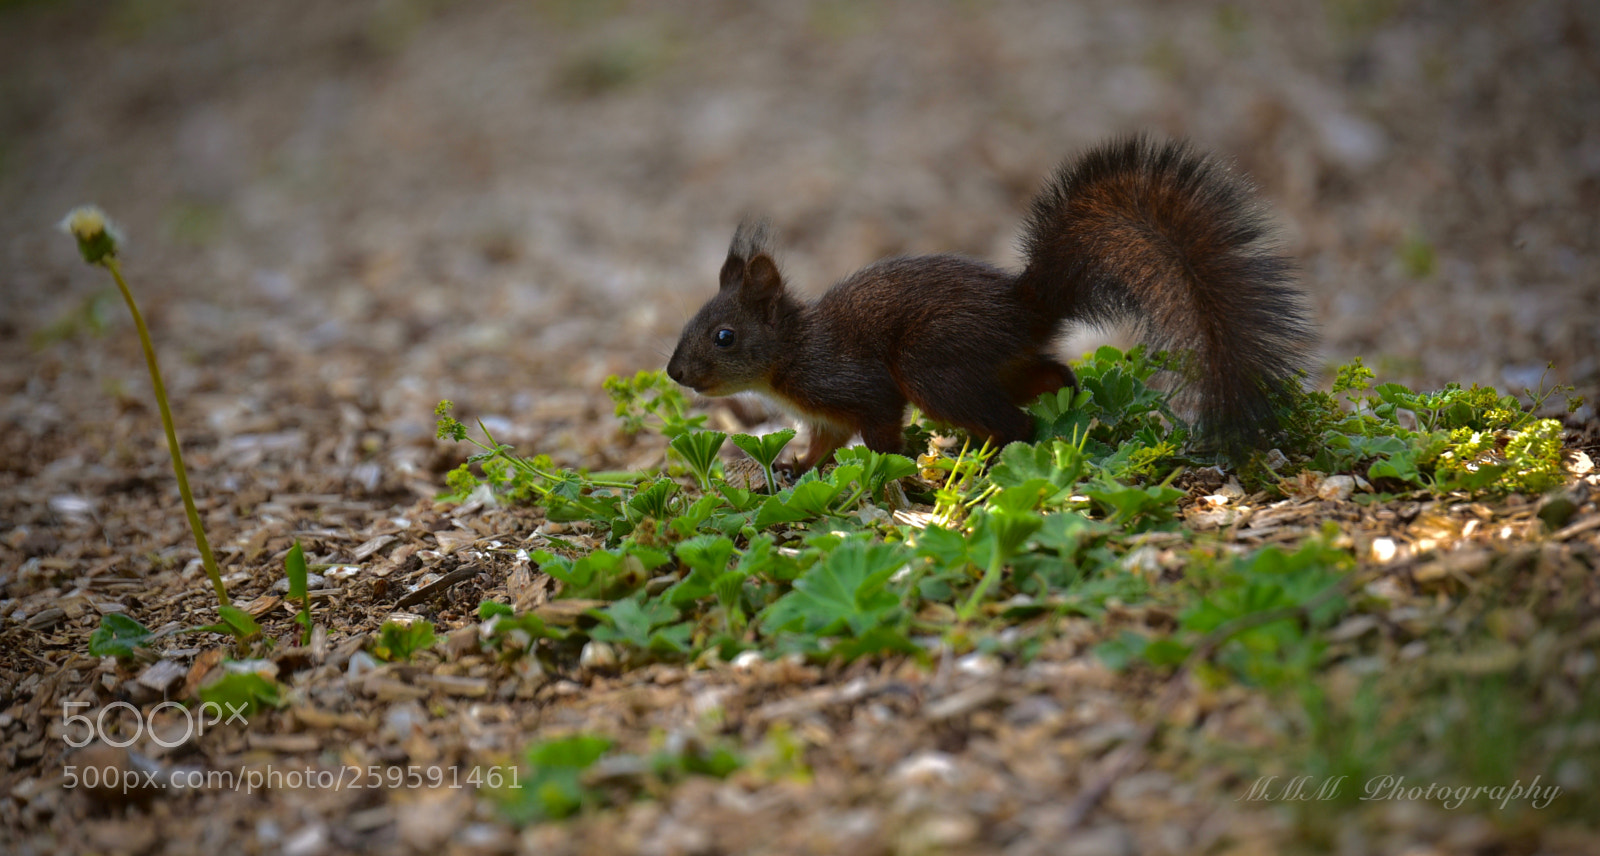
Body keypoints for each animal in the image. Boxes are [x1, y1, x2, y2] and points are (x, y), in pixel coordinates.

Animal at [666, 135, 1314, 473]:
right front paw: (793, 467)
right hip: (991, 364)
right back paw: (1063, 408)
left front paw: (897, 463)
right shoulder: (824, 418)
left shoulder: (852, 385)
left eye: (724, 336)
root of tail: (1026, 306)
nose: (674, 373)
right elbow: (821, 447)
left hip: (934, 364)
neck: (790, 357)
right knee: (1050, 377)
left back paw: (979, 454)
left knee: (1014, 422)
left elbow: (879, 429)